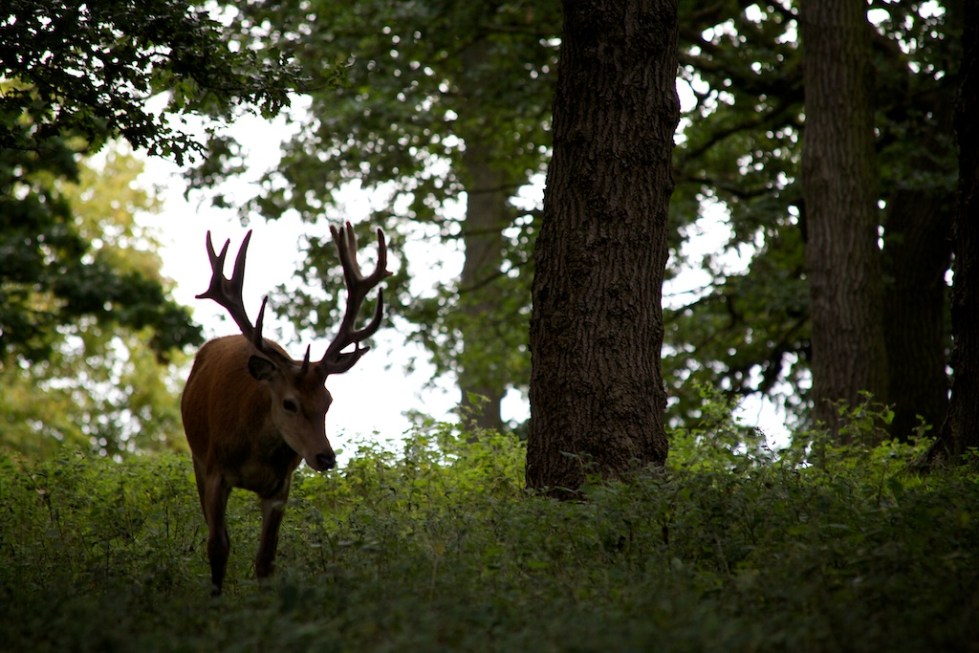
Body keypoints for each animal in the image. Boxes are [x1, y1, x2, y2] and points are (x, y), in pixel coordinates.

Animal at [181, 222, 389, 596]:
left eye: (328, 401)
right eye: (289, 403)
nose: (325, 457)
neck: (253, 453)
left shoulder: (281, 485)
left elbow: (266, 560)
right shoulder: (215, 470)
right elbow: (217, 547)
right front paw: (215, 599)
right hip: (197, 457)